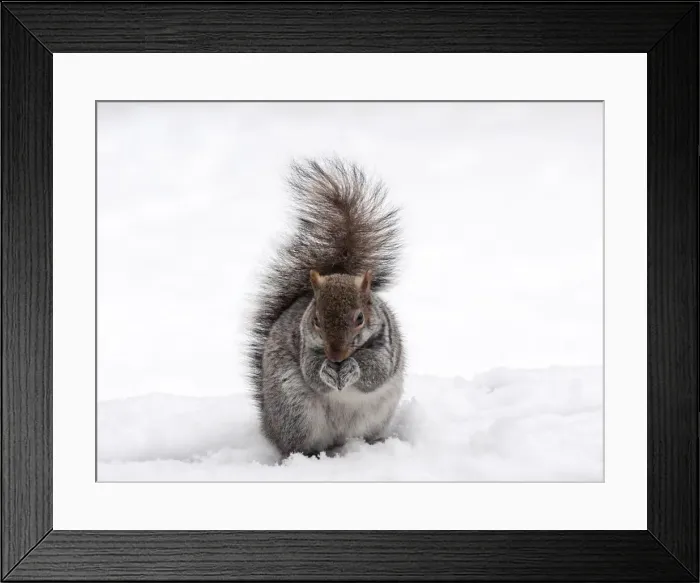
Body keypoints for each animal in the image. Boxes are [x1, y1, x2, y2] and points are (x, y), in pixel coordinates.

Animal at [245, 157, 406, 458]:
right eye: (316, 319)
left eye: (359, 318)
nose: (336, 355)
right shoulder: (304, 345)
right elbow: (311, 371)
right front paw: (326, 370)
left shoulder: (387, 346)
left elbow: (376, 370)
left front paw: (353, 367)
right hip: (295, 411)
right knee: (298, 443)